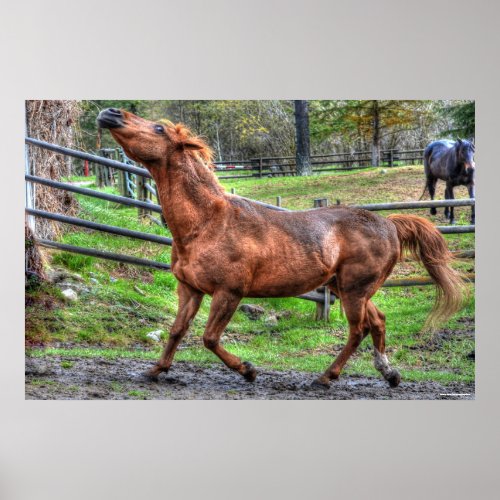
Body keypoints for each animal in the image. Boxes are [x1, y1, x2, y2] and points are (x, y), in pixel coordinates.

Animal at [97, 109, 464, 388]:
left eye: (158, 128)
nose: (110, 113)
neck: (207, 223)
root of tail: (390, 224)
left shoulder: (229, 292)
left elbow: (209, 338)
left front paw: (248, 370)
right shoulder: (190, 289)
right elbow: (176, 331)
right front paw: (155, 370)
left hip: (355, 290)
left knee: (358, 329)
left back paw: (325, 377)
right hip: (346, 288)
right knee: (378, 321)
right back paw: (389, 374)